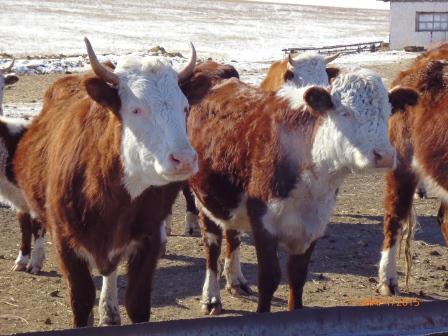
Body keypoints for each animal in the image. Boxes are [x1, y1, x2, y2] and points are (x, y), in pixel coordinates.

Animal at [12, 38, 197, 326]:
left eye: (185, 107)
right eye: (136, 108)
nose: (185, 159)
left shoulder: (149, 239)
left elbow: (137, 303)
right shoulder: (65, 243)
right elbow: (81, 300)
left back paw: (109, 311)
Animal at [186, 66, 412, 316]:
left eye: (388, 113)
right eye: (345, 113)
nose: (385, 155)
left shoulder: (314, 225)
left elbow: (297, 276)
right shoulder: (264, 223)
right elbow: (269, 278)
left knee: (232, 233)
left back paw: (236, 280)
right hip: (204, 199)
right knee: (212, 246)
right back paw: (211, 297)